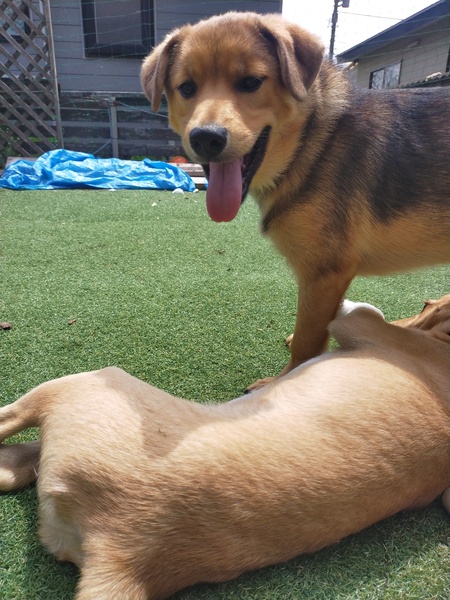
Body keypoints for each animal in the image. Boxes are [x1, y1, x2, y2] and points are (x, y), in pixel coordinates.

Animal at [1, 296, 449, 599]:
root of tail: (119, 554)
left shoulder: (360, 324)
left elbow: (362, 309)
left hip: (89, 383)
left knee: (10, 420)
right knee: (17, 463)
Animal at [141, 12, 450, 389]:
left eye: (250, 82)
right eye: (186, 88)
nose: (206, 138)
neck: (312, 144)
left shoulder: (325, 274)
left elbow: (307, 344)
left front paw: (284, 383)